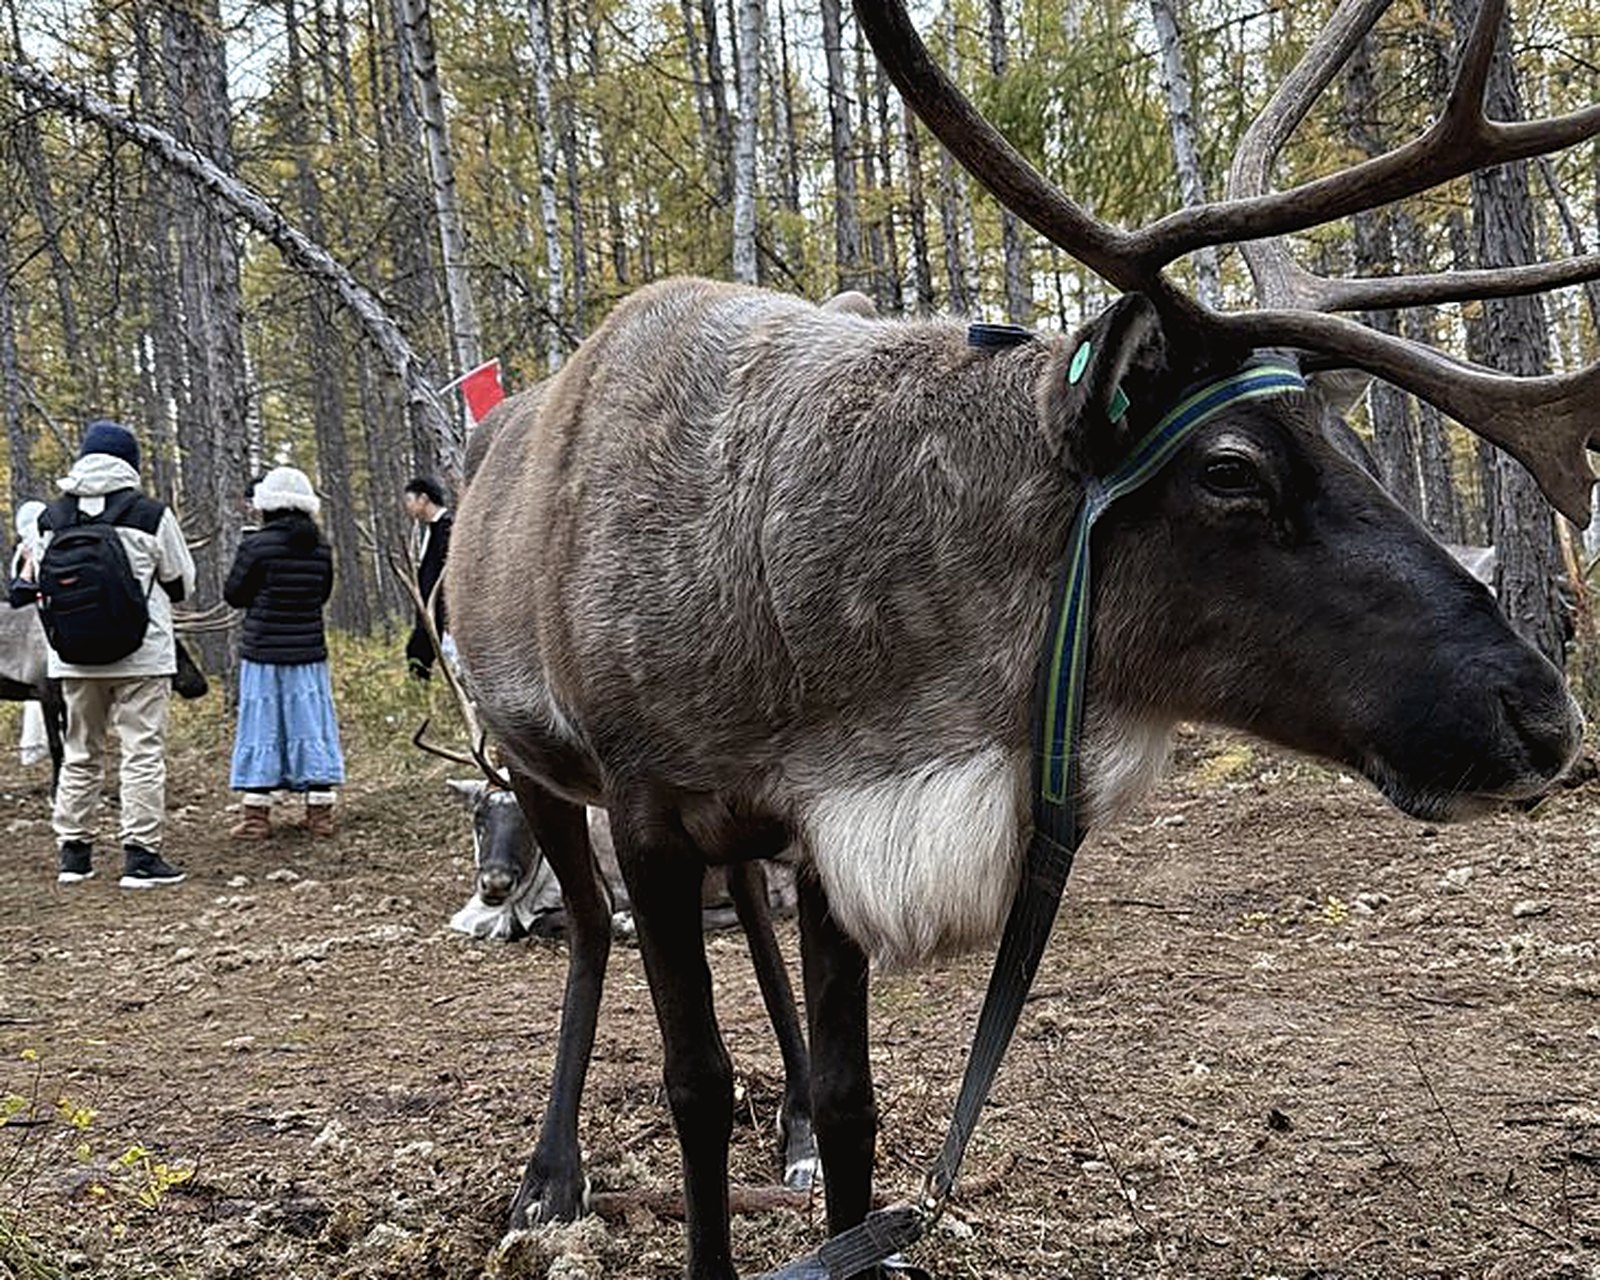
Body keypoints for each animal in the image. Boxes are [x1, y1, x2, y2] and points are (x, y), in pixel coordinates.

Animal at [446, 2, 1597, 1271]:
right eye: (1232, 470)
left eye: (1347, 442)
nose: (1543, 716)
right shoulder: (649, 807)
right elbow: (692, 1083)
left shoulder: (822, 816)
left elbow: (851, 1097)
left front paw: (825, 1155)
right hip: (533, 767)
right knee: (588, 933)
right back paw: (548, 1175)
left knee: (742, 917)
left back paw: (772, 1127)